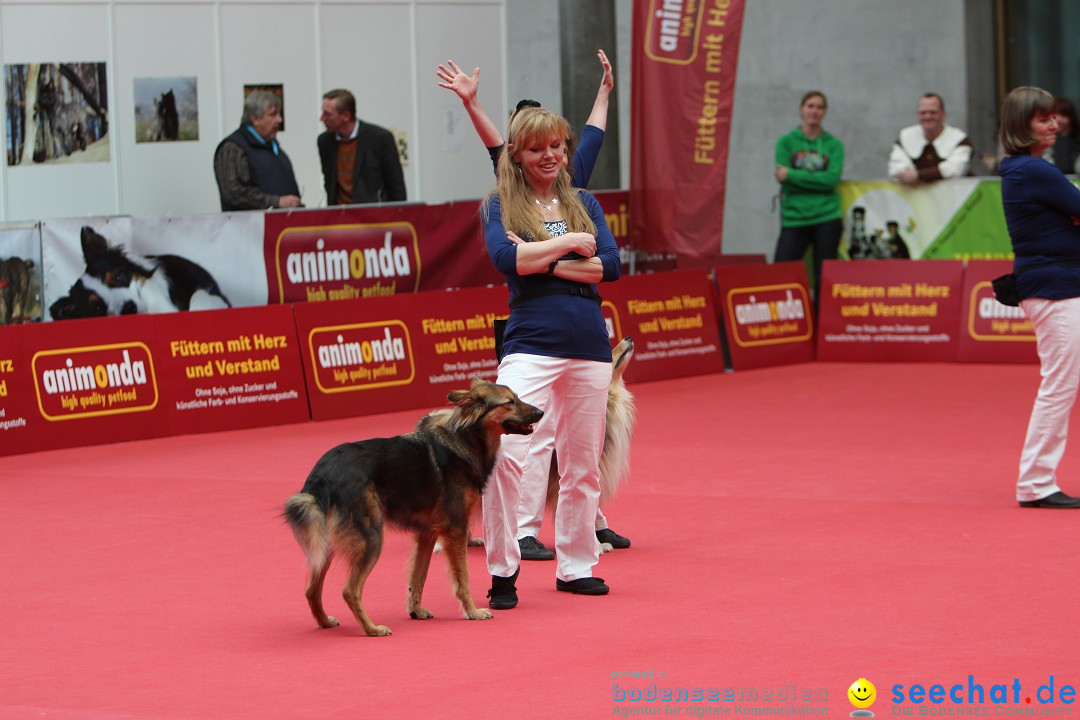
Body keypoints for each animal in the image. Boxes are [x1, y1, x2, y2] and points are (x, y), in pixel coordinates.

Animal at [285, 377, 544, 634]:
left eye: (517, 397)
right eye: (509, 402)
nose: (541, 412)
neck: (464, 440)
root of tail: (323, 471)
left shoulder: (427, 534)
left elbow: (418, 577)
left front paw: (416, 611)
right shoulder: (456, 531)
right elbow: (463, 578)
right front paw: (472, 612)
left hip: (325, 543)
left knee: (311, 589)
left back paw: (324, 621)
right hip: (371, 537)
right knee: (350, 591)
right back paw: (372, 628)